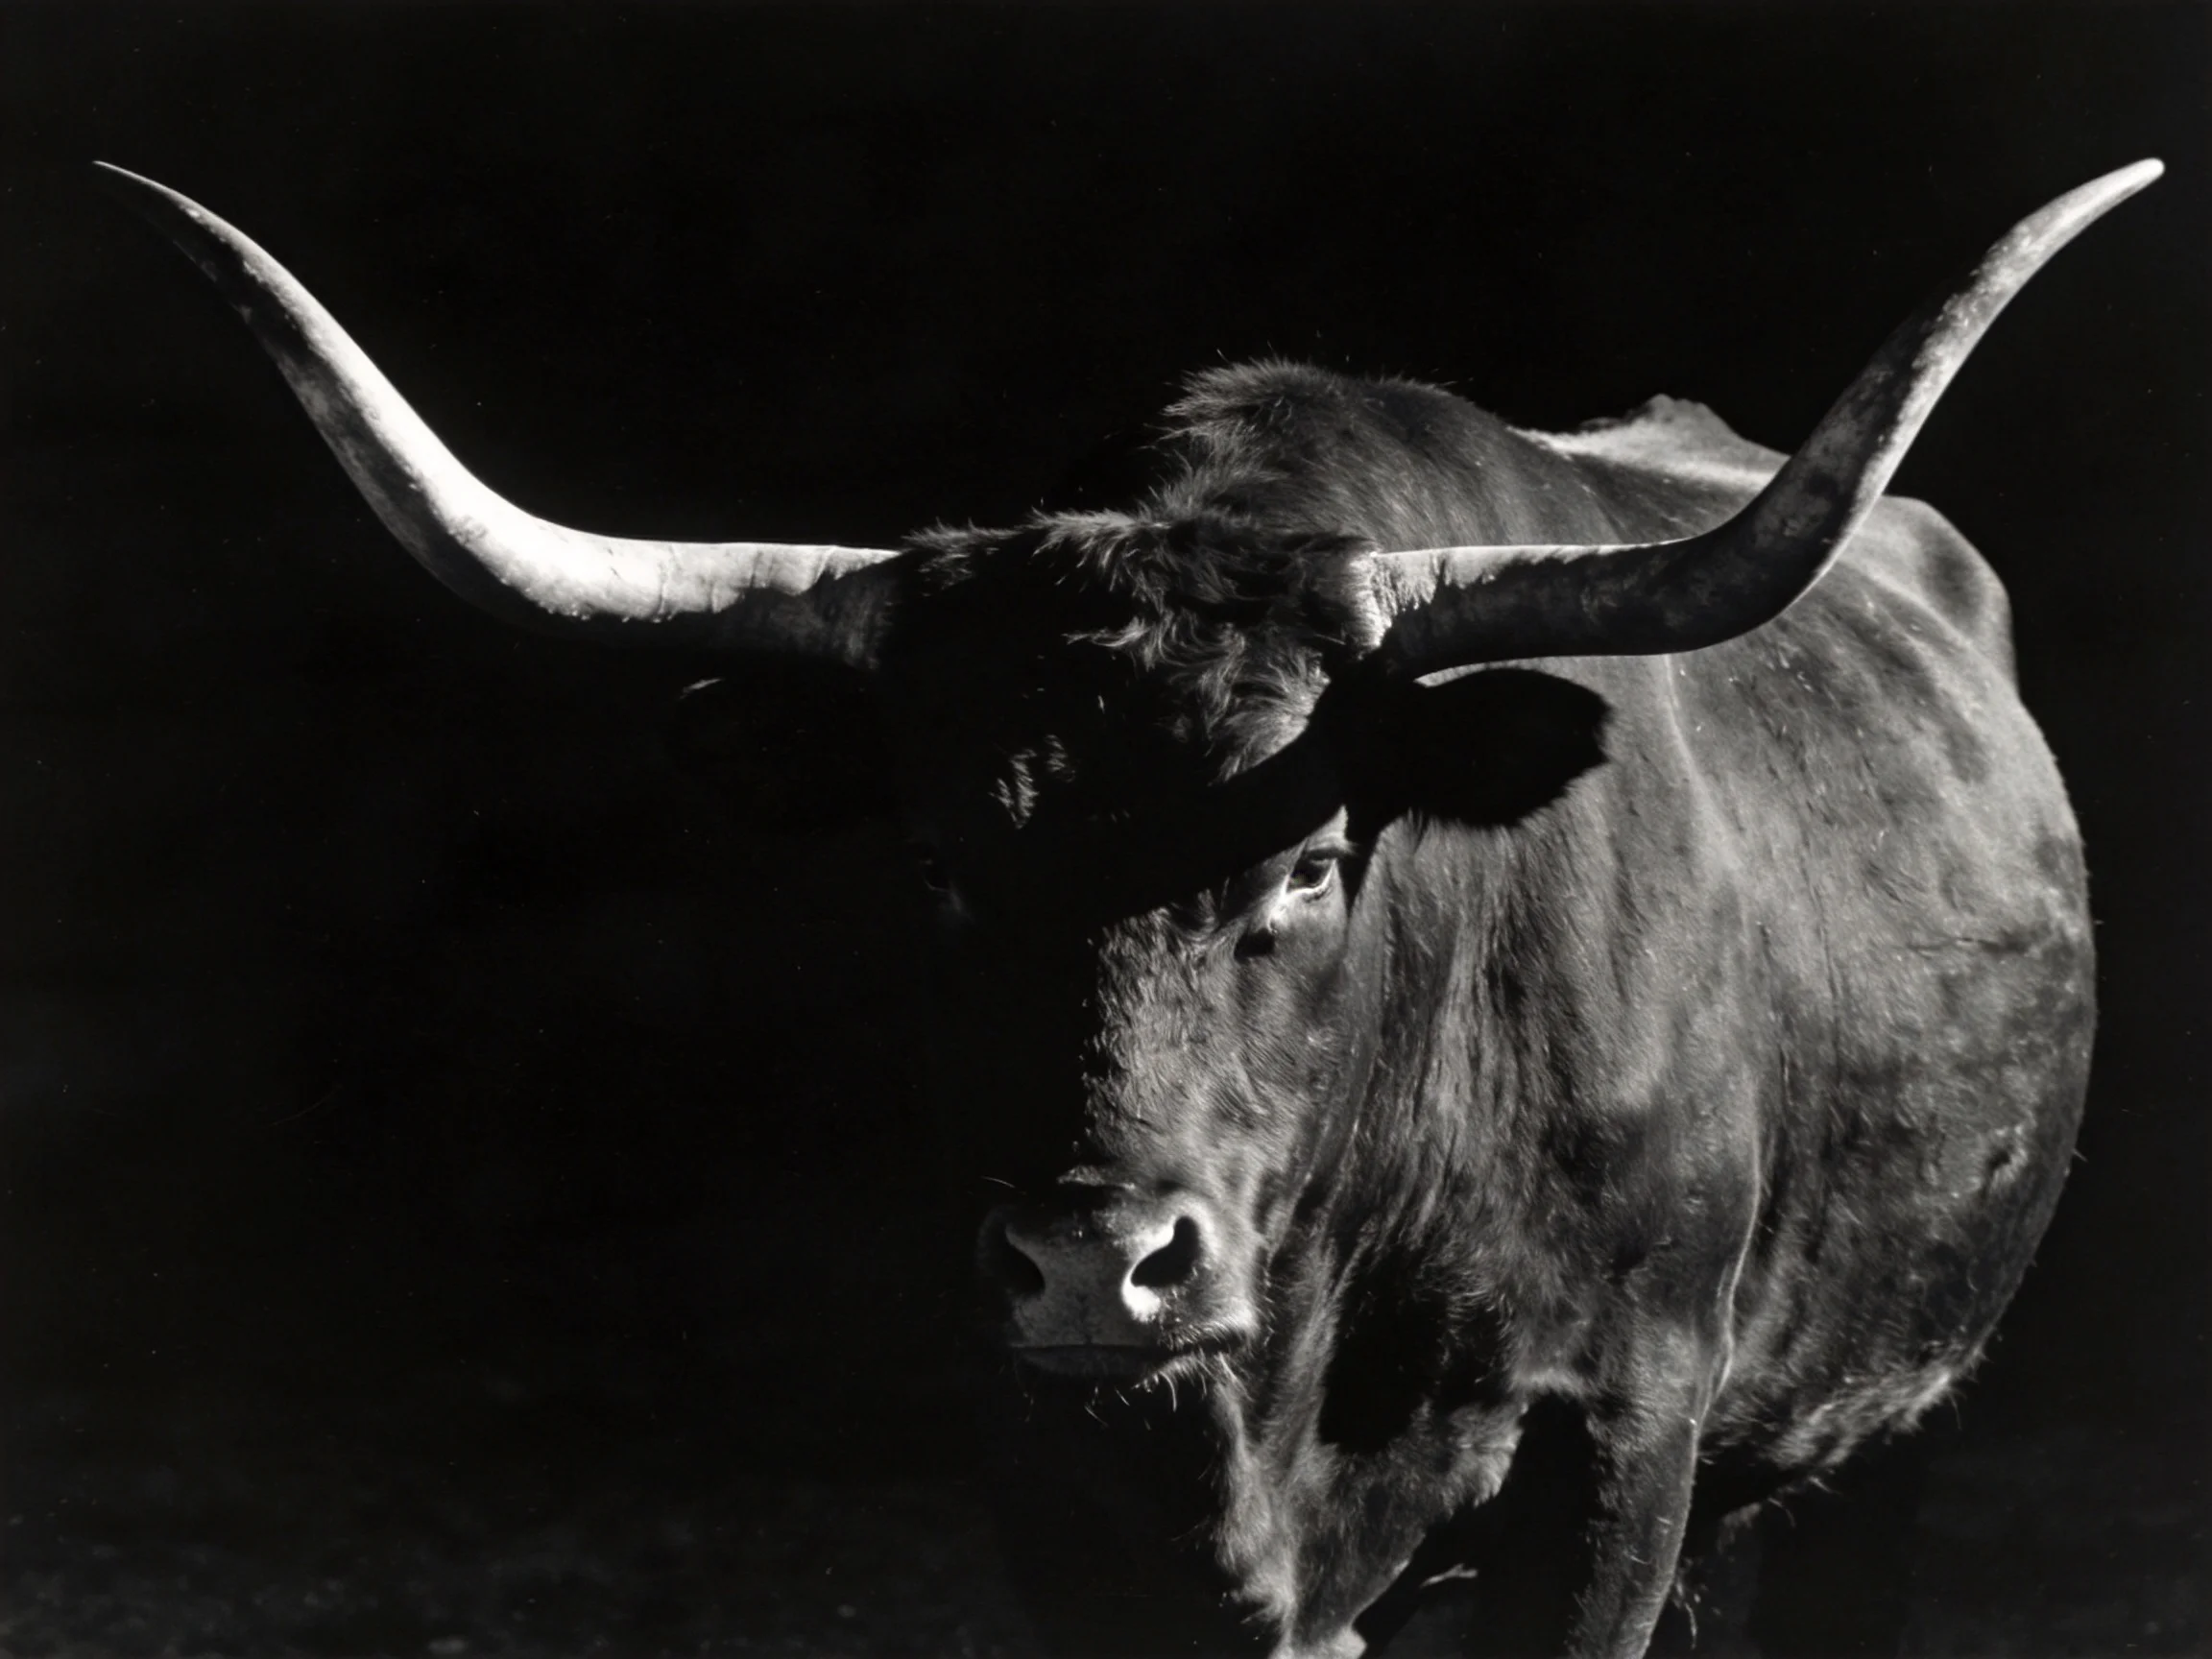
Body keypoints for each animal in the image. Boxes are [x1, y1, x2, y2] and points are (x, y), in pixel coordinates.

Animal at [99, 159, 2156, 1657]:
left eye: (1313, 858)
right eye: (936, 862)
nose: (1098, 1261)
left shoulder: (1616, 1449)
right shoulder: (1044, 1452)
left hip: (1884, 1424)